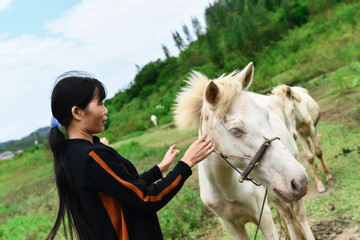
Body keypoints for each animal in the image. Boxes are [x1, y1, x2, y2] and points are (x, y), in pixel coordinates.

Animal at [173, 62, 308, 239]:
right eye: (235, 130)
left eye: (266, 117)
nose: (299, 180)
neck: (226, 189)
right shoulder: (231, 226)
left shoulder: (264, 216)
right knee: (289, 217)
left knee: (300, 216)